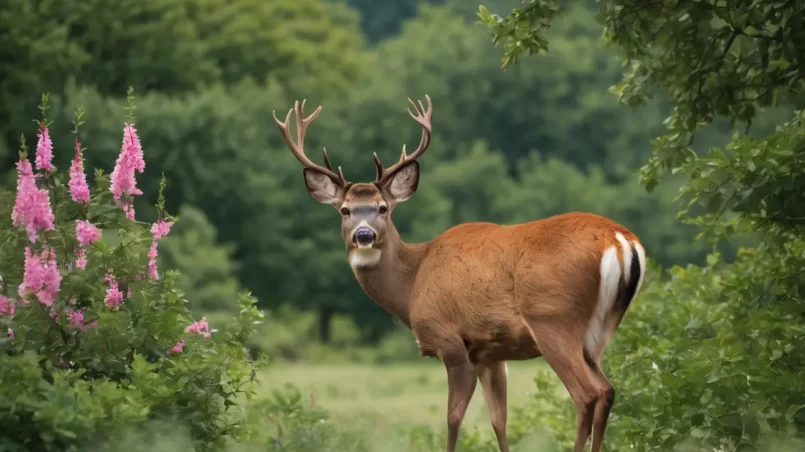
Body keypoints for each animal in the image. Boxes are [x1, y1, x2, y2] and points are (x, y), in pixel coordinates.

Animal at [270, 96, 648, 452]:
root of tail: (621, 240)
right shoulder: (490, 353)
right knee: (608, 390)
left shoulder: (450, 339)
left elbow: (453, 419)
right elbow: (499, 420)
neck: (412, 282)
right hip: (597, 333)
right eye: (346, 210)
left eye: (382, 208)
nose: (364, 235)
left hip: (553, 318)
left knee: (588, 394)